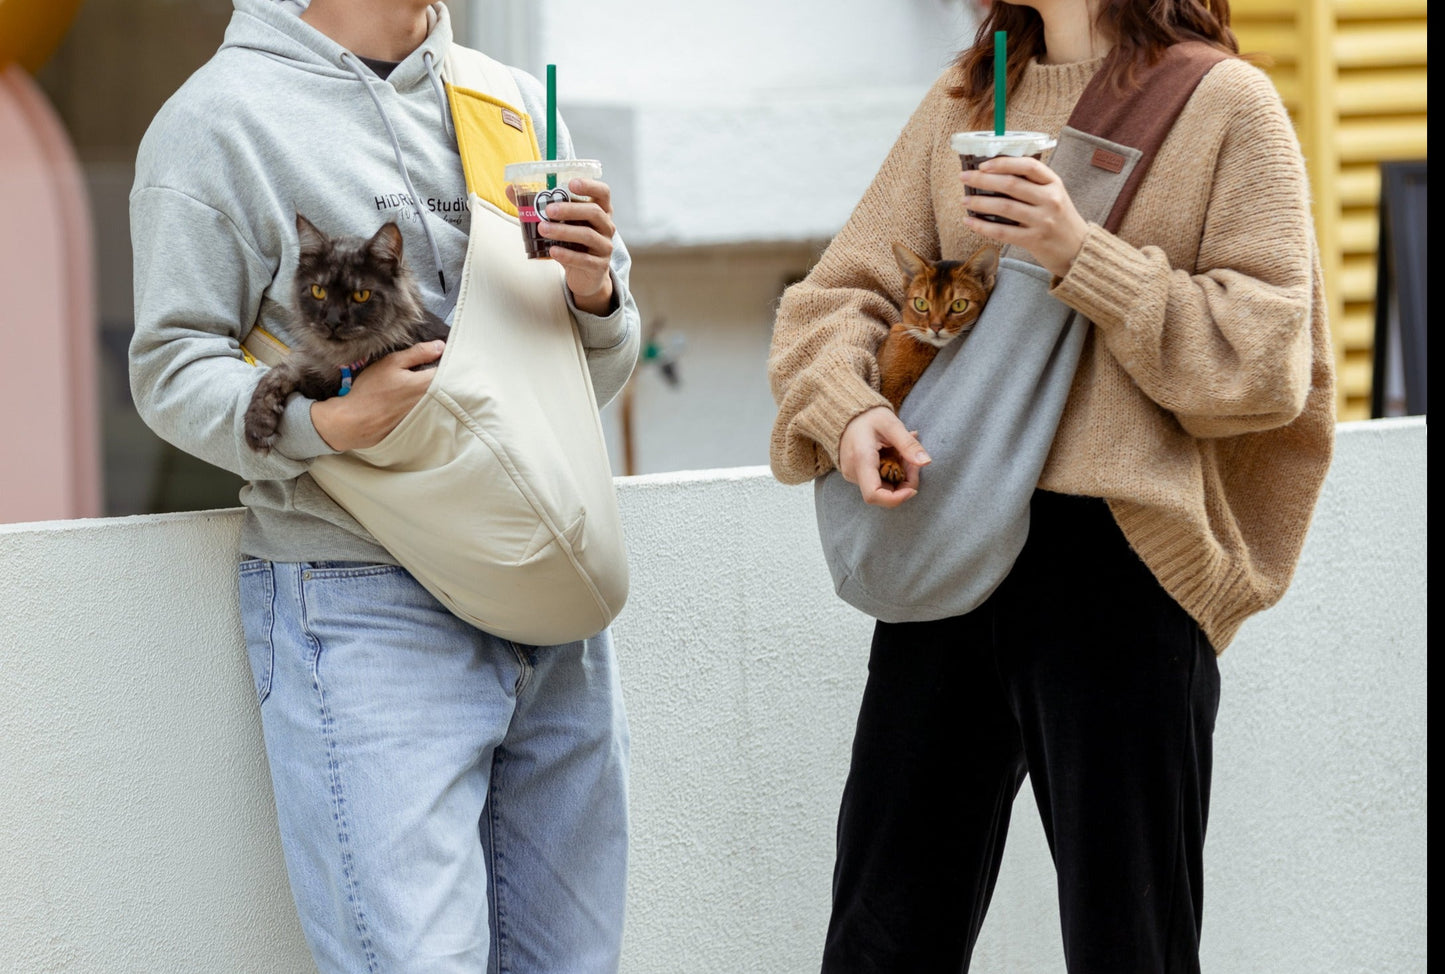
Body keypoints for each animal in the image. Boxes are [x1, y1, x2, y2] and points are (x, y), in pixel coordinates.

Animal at [242, 213, 447, 450]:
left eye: (361, 295)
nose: (332, 322)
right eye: (318, 291)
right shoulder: (312, 367)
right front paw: (257, 425)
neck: (347, 361)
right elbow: (278, 373)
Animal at [872, 241, 999, 482]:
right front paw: (891, 463)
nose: (936, 327)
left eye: (959, 305)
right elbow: (890, 426)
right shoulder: (888, 386)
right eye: (921, 303)